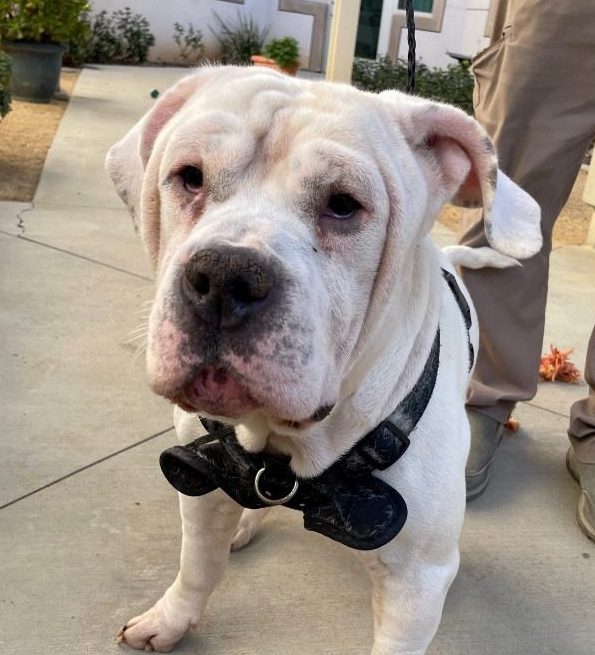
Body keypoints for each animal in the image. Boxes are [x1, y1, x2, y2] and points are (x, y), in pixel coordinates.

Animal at [105, 66, 544, 655]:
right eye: (189, 176)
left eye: (343, 204)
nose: (224, 275)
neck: (292, 445)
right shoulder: (199, 482)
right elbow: (198, 567)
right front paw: (170, 618)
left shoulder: (416, 582)